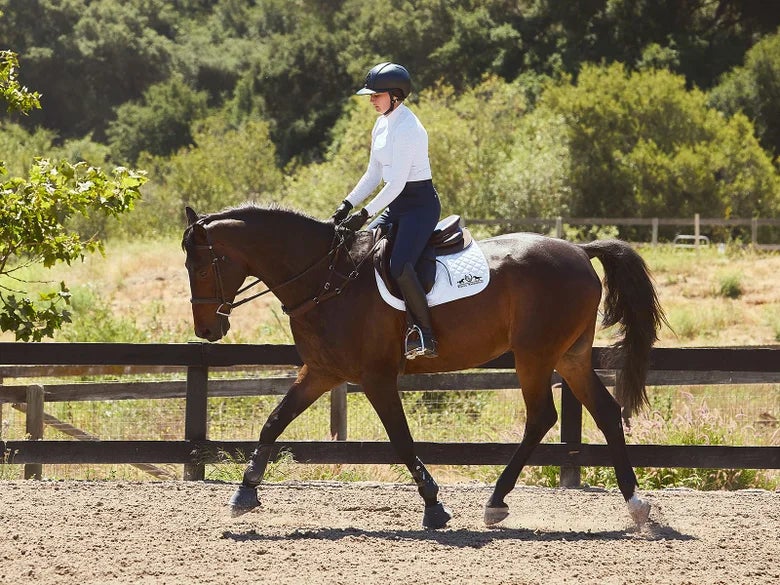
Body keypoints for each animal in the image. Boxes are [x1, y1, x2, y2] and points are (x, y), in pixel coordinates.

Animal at [182, 203, 666, 529]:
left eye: (202, 265)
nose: (207, 330)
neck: (326, 278)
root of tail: (580, 251)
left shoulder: (375, 378)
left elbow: (401, 439)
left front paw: (434, 506)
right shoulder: (320, 372)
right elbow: (274, 421)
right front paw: (245, 492)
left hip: (535, 356)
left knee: (542, 417)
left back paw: (496, 501)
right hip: (570, 357)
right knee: (605, 413)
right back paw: (636, 505)